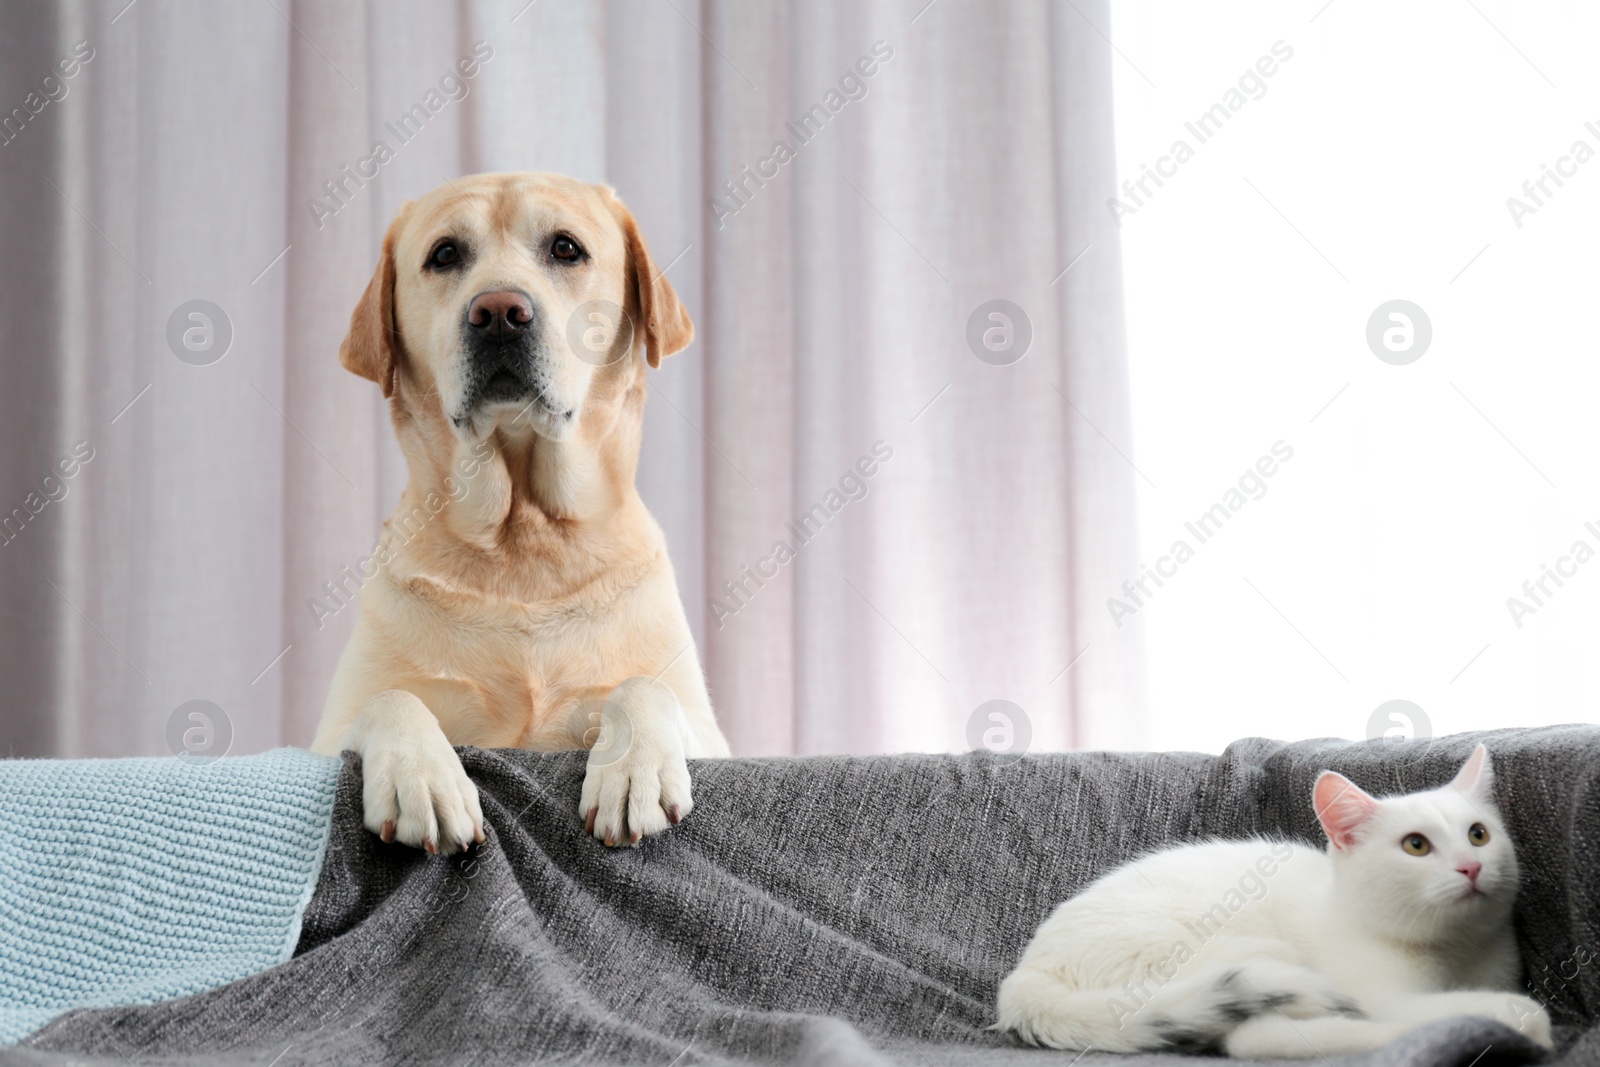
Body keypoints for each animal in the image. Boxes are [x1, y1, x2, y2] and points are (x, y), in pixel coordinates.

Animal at [310, 177, 732, 857]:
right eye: (445, 254)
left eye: (565, 248)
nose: (500, 312)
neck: (522, 538)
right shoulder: (323, 738)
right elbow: (391, 698)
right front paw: (420, 776)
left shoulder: (710, 734)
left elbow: (644, 686)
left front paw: (632, 768)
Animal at [992, 748, 1555, 1055]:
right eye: (1416, 845)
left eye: (1478, 835)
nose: (1471, 867)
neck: (1456, 952)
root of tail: (1028, 975)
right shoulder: (1383, 995)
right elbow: (1474, 1007)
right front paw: (1524, 1023)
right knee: (1251, 1036)